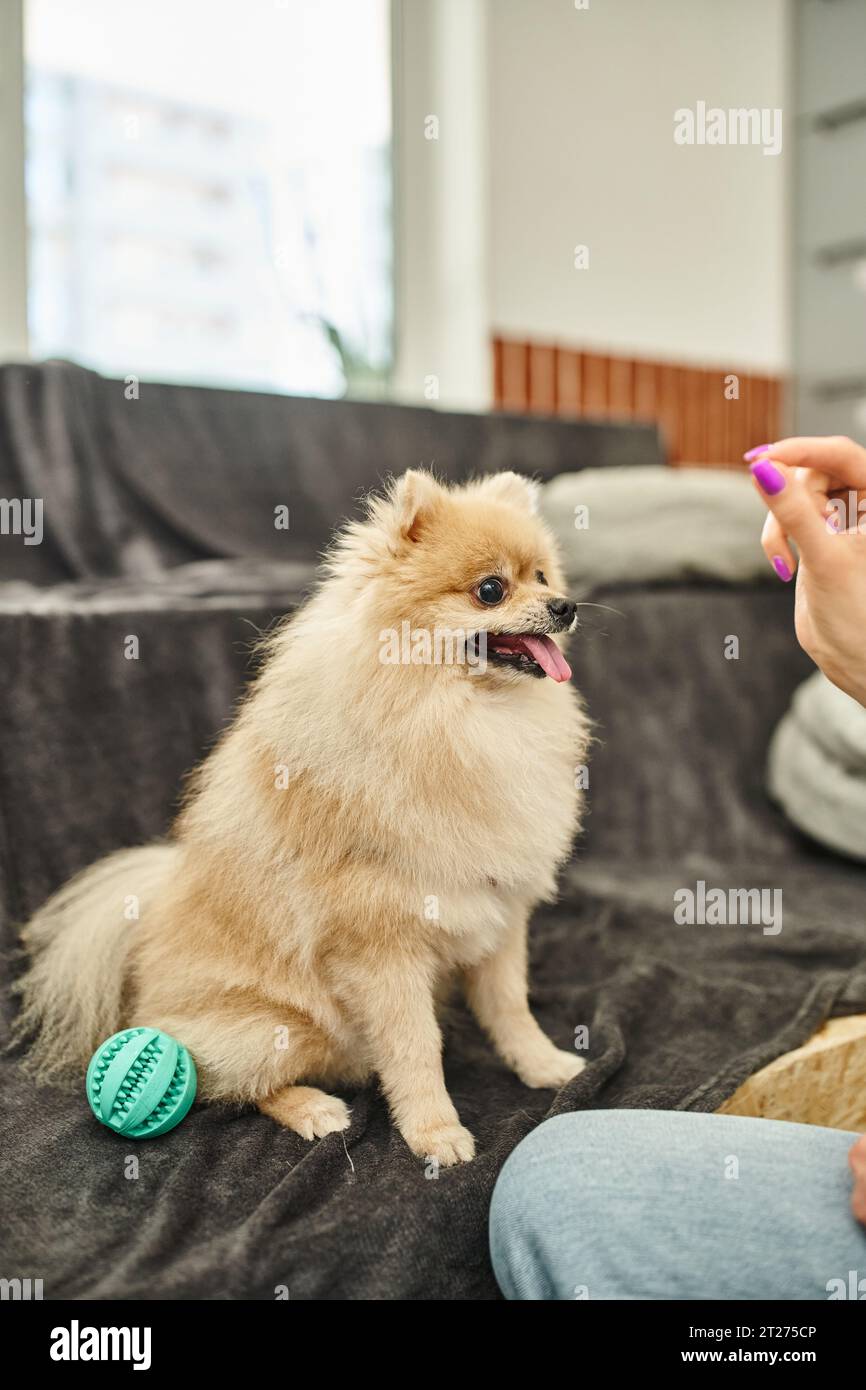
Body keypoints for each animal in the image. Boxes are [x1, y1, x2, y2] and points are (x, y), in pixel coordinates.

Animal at [16, 472, 589, 1167]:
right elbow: (415, 1047)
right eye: (490, 590)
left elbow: (511, 1007)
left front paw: (542, 1065)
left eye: (543, 575)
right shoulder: (382, 943)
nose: (565, 606)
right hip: (276, 1028)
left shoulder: (500, 911)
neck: (461, 716)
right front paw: (435, 1132)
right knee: (230, 1083)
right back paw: (313, 1108)